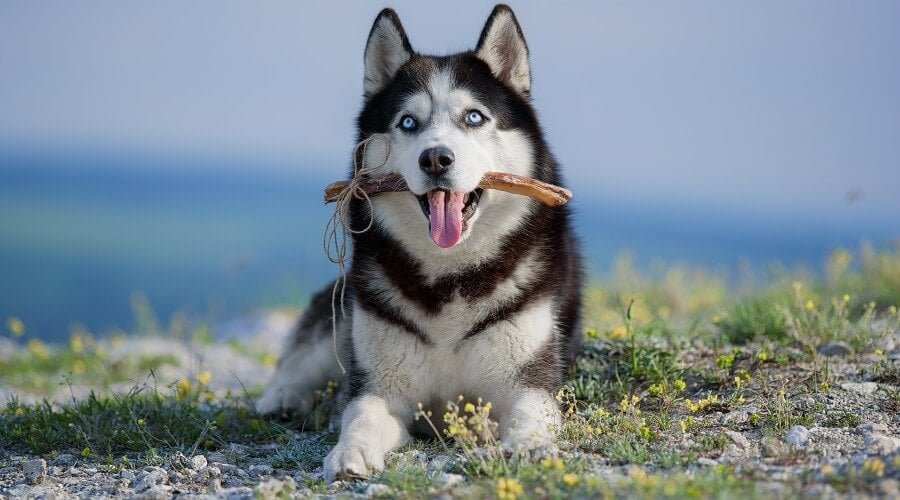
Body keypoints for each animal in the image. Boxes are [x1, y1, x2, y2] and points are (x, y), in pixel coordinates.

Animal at [260, 4, 584, 480]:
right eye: (408, 123)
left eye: (474, 117)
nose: (436, 158)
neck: (449, 275)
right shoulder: (381, 385)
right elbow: (361, 415)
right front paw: (349, 452)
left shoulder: (527, 381)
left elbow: (531, 414)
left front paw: (529, 447)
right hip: (345, 312)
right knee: (303, 354)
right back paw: (281, 398)